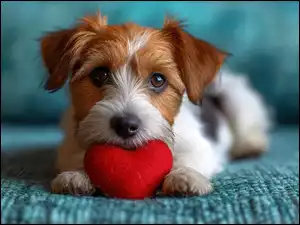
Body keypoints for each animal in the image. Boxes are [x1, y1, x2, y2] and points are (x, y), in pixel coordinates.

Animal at [38, 11, 270, 197]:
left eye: (158, 79)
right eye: (100, 74)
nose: (125, 125)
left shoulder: (200, 147)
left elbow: (189, 158)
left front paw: (185, 176)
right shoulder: (69, 146)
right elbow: (78, 156)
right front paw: (76, 175)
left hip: (236, 98)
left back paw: (250, 145)